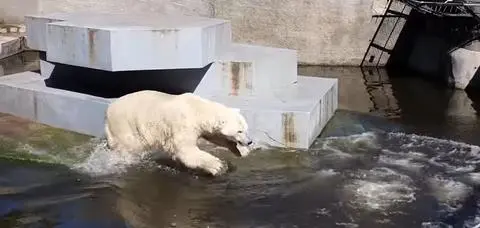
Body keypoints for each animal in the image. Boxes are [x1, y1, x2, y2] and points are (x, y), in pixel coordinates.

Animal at [104, 90, 253, 175]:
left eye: (246, 129)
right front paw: (218, 165)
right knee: (129, 147)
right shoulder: (183, 124)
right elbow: (185, 150)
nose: (250, 141)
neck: (197, 109)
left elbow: (215, 137)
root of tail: (108, 111)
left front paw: (241, 151)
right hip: (125, 124)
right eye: (239, 131)